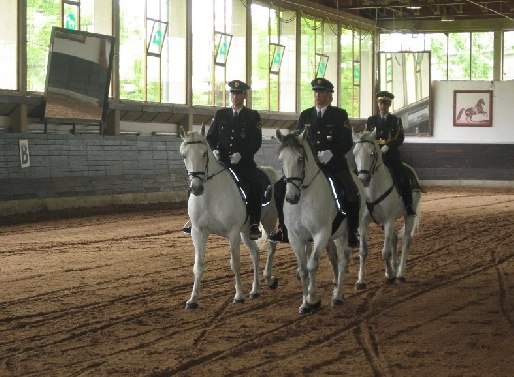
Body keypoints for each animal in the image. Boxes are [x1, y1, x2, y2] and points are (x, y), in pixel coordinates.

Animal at [178, 125, 278, 306]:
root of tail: (269, 171)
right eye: (184, 155)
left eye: (204, 153)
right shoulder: (198, 232)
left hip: (269, 220)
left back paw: (269, 279)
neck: (209, 196)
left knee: (271, 246)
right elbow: (198, 265)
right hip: (246, 232)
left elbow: (235, 264)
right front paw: (192, 299)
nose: (196, 188)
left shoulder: (232, 232)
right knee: (255, 254)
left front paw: (238, 295)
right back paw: (255, 290)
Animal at [276, 128, 364, 312]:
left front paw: (313, 298)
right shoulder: (295, 237)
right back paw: (336, 286)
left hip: (347, 232)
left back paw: (338, 296)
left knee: (342, 260)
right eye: (281, 159)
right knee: (333, 256)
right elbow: (303, 269)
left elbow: (313, 264)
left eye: (300, 159)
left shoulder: (320, 233)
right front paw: (304, 304)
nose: (291, 198)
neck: (304, 197)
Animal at [350, 129, 422, 288]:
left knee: (406, 240)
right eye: (355, 152)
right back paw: (395, 267)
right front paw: (360, 281)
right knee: (394, 238)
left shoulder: (388, 220)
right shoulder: (363, 222)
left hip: (409, 215)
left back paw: (400, 273)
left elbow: (385, 252)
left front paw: (389, 275)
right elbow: (363, 251)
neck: (372, 190)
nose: (363, 178)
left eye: (371, 153)